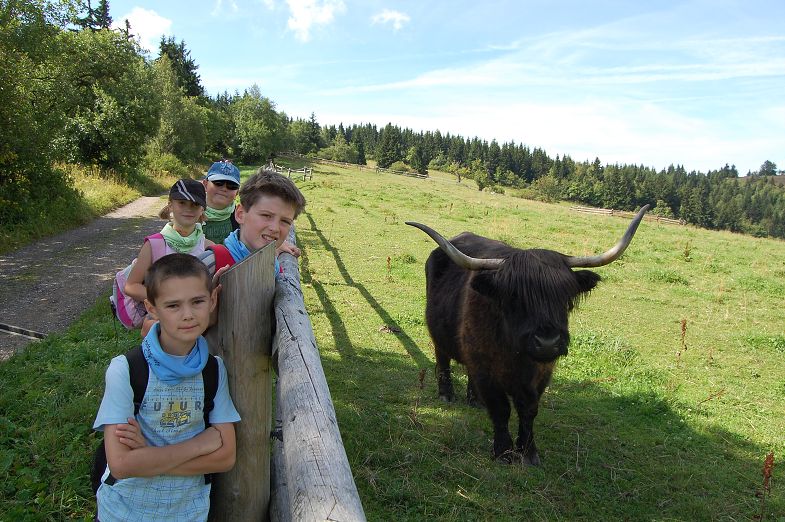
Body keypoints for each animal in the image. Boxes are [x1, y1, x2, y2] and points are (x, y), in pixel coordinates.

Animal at [406, 205, 649, 465]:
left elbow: (529, 410)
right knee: (442, 359)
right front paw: (503, 451)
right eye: (514, 297)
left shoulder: (542, 373)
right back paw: (446, 395)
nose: (547, 343)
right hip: (439, 335)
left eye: (565, 297)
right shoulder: (485, 369)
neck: (515, 354)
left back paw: (475, 401)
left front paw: (529, 452)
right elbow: (501, 409)